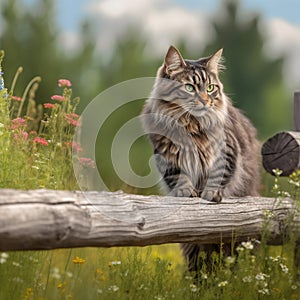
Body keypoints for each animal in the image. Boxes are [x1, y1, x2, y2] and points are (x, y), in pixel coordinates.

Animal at [141, 45, 260, 276]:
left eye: (211, 87)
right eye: (189, 87)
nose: (206, 100)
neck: (191, 125)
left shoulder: (227, 150)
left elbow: (218, 176)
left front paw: (210, 193)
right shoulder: (167, 155)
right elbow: (179, 177)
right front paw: (187, 192)